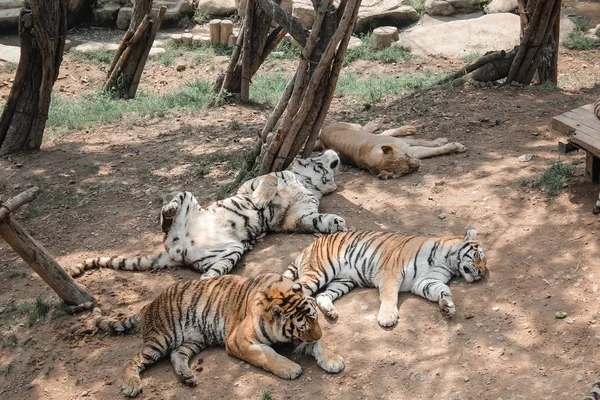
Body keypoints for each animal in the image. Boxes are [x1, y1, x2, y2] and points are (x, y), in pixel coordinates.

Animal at [69, 149, 346, 278]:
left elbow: (317, 220)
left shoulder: (299, 216)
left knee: (209, 274)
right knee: (167, 215)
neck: (307, 183)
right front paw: (260, 199)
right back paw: (169, 208)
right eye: (317, 156)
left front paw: (337, 223)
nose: (334, 153)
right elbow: (269, 181)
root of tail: (176, 250)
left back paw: (207, 282)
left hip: (230, 253)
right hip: (187, 197)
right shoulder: (255, 181)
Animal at [94, 272, 346, 396]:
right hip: (162, 338)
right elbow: (266, 355)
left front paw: (332, 359)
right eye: (302, 327)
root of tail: (148, 305)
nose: (317, 334)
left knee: (177, 355)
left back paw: (187, 377)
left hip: (193, 340)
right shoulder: (238, 340)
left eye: (315, 317)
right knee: (134, 360)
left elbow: (319, 346)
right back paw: (131, 384)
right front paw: (290, 368)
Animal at [284, 230, 488, 326]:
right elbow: (390, 296)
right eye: (478, 256)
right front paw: (387, 318)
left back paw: (330, 312)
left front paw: (447, 306)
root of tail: (309, 246)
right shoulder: (391, 274)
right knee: (297, 289)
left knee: (322, 295)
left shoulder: (425, 281)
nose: (481, 273)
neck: (447, 261)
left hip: (343, 282)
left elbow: (444, 289)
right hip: (318, 273)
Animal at [318, 121, 464, 179]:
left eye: (406, 156)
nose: (418, 164)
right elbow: (431, 148)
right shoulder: (410, 149)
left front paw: (441, 140)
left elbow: (423, 141)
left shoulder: (404, 145)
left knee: (375, 130)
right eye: (406, 171)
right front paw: (455, 146)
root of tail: (321, 134)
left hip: (355, 127)